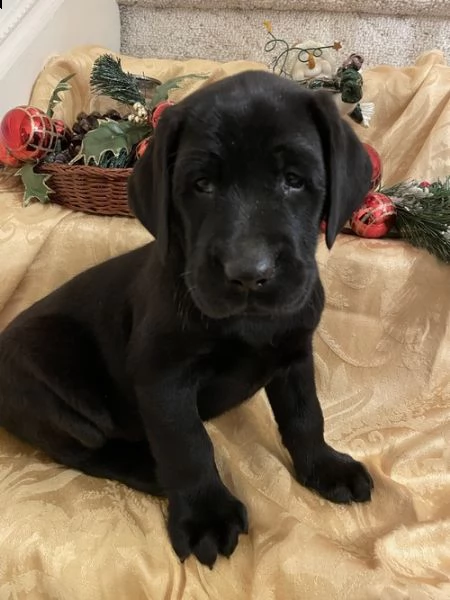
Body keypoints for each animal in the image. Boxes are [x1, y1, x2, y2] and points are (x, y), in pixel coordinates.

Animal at [0, 70, 372, 568]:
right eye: (201, 185)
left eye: (294, 181)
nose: (248, 272)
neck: (249, 323)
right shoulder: (163, 377)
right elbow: (188, 445)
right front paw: (206, 516)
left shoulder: (295, 355)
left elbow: (305, 415)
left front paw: (325, 466)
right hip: (51, 377)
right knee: (84, 450)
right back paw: (148, 468)